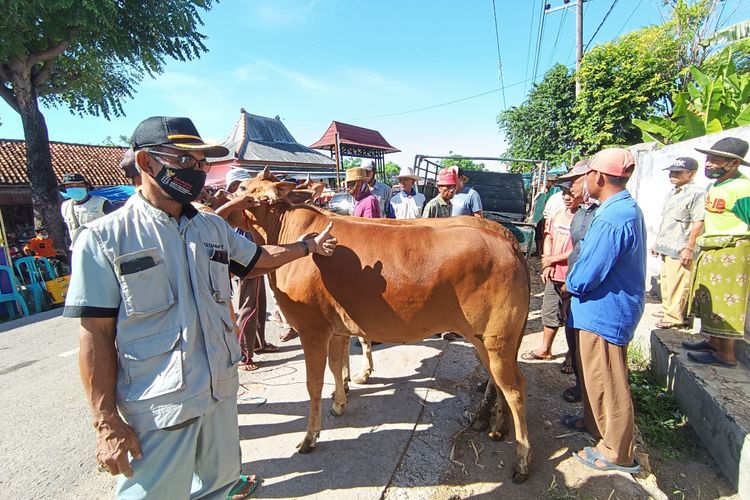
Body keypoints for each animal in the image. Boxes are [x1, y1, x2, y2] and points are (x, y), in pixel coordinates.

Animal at [232, 170, 532, 482]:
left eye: (242, 189)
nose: (224, 196)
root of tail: (506, 243)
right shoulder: (336, 327)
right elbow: (336, 365)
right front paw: (340, 400)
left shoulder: (312, 330)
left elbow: (314, 384)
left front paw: (310, 437)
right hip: (487, 339)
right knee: (499, 382)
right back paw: (496, 427)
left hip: (497, 339)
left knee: (514, 388)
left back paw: (521, 460)